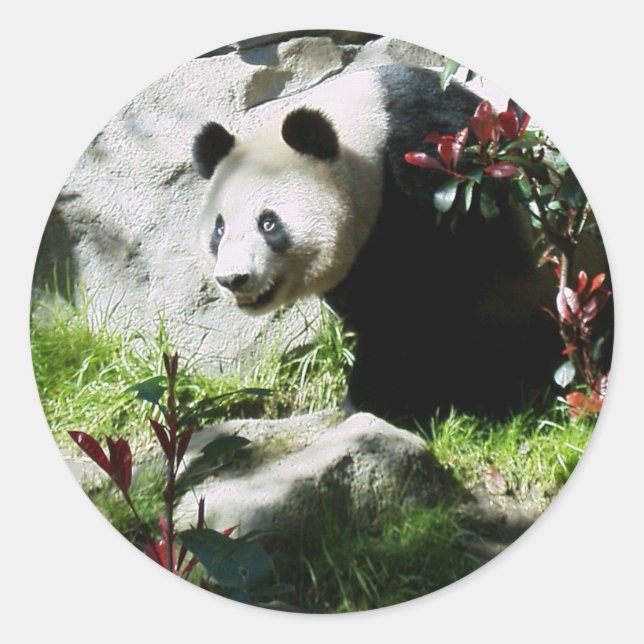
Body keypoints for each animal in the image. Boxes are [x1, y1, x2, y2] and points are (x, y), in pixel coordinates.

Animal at [191, 64, 590, 420]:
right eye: (219, 229)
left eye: (269, 223)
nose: (234, 279)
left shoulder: (435, 180)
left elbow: (420, 306)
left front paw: (378, 401)